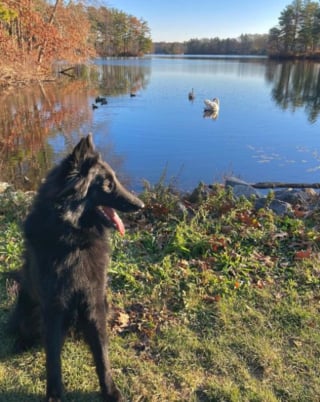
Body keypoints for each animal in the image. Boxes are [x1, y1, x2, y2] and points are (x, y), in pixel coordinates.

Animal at [8, 134, 144, 398]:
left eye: (115, 180)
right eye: (108, 185)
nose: (141, 205)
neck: (74, 240)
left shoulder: (94, 302)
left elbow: (101, 354)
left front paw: (110, 391)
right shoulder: (53, 306)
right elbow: (53, 358)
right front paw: (55, 394)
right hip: (28, 308)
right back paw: (20, 342)